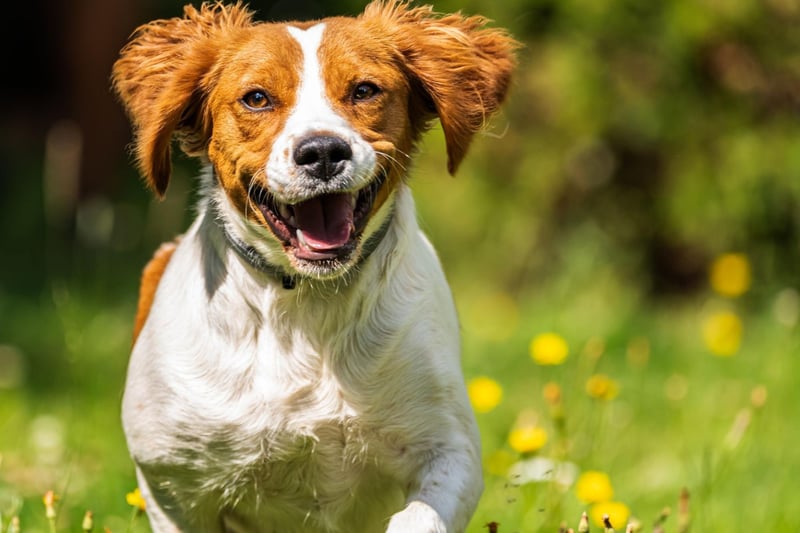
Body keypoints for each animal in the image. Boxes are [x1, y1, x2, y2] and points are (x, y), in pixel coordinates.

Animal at [111, 2, 520, 528]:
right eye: (257, 98)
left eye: (364, 89)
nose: (323, 151)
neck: (307, 303)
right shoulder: (171, 482)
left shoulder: (450, 448)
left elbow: (417, 515)